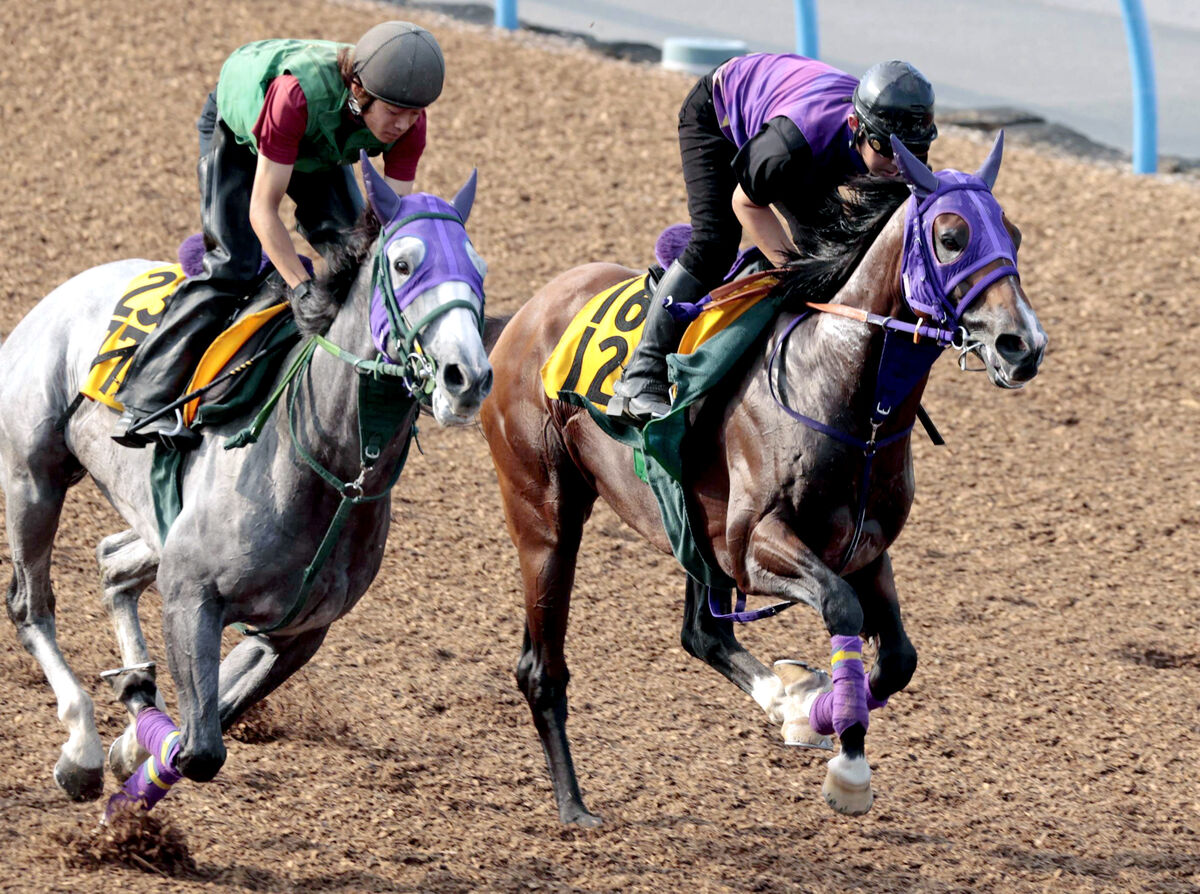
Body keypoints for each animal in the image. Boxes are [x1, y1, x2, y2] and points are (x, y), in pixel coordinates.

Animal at [477, 132, 1041, 820]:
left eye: (1013, 233)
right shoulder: (753, 546)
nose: (1023, 345)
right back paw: (574, 806)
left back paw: (779, 699)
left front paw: (815, 711)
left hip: (689, 531)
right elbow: (842, 607)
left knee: (701, 633)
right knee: (542, 668)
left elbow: (898, 658)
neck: (839, 386)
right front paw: (844, 758)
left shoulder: (864, 547)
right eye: (952, 235)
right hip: (546, 517)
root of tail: (521, 318)